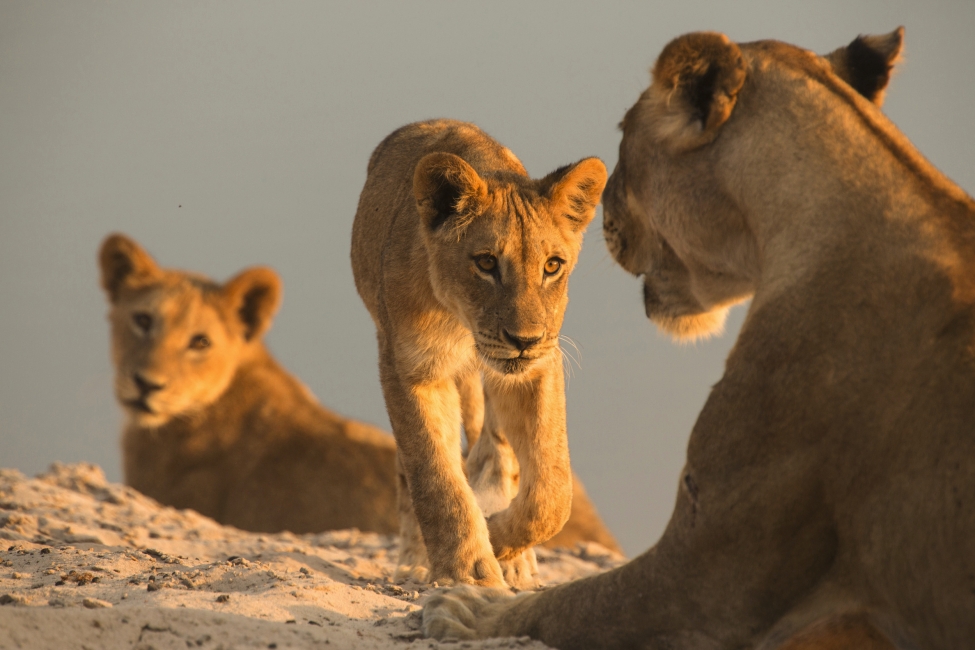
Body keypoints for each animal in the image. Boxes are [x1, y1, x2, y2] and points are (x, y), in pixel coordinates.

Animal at [351, 119, 608, 589]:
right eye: (486, 263)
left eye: (552, 266)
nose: (523, 339)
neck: (461, 321)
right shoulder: (411, 368)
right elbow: (435, 476)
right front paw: (467, 571)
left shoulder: (539, 365)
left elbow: (551, 494)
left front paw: (501, 543)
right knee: (413, 470)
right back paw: (415, 560)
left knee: (494, 450)